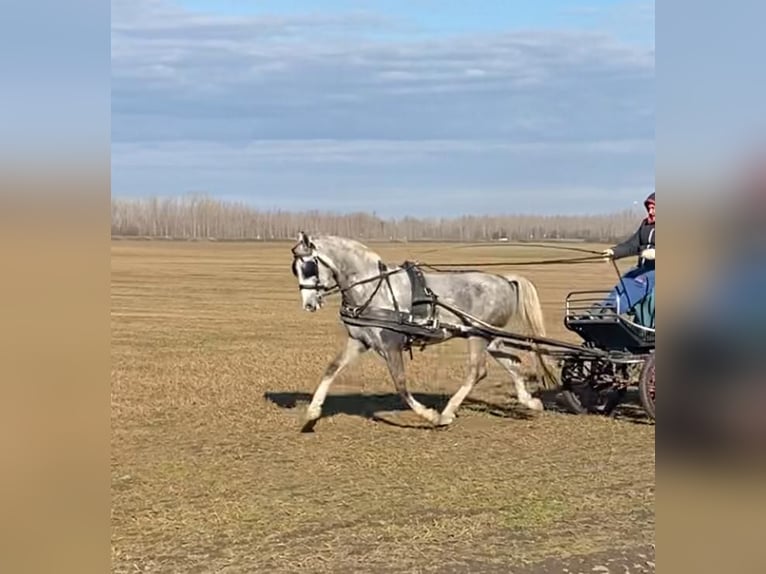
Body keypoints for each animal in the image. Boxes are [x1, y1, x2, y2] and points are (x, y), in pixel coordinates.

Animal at [292, 233, 556, 432]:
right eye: (295, 269)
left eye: (310, 266)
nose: (309, 304)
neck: (374, 289)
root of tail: (504, 279)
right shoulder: (359, 341)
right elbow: (332, 368)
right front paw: (312, 413)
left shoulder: (391, 345)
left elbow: (400, 384)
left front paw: (431, 416)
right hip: (489, 337)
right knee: (513, 360)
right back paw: (530, 402)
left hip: (477, 336)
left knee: (477, 371)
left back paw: (448, 412)